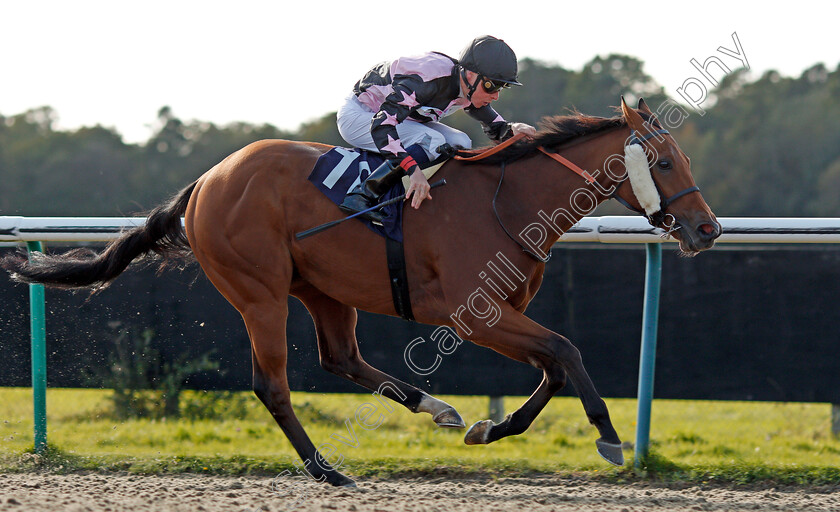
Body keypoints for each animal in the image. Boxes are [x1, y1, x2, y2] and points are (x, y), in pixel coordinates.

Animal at [3, 98, 720, 486]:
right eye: (663, 162)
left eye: (683, 159)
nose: (706, 229)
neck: (508, 200)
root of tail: (205, 182)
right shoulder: (477, 314)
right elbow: (568, 352)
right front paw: (609, 439)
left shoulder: (504, 313)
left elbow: (555, 367)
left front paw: (491, 427)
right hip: (259, 292)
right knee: (273, 385)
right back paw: (326, 468)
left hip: (323, 290)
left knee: (339, 357)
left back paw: (437, 408)